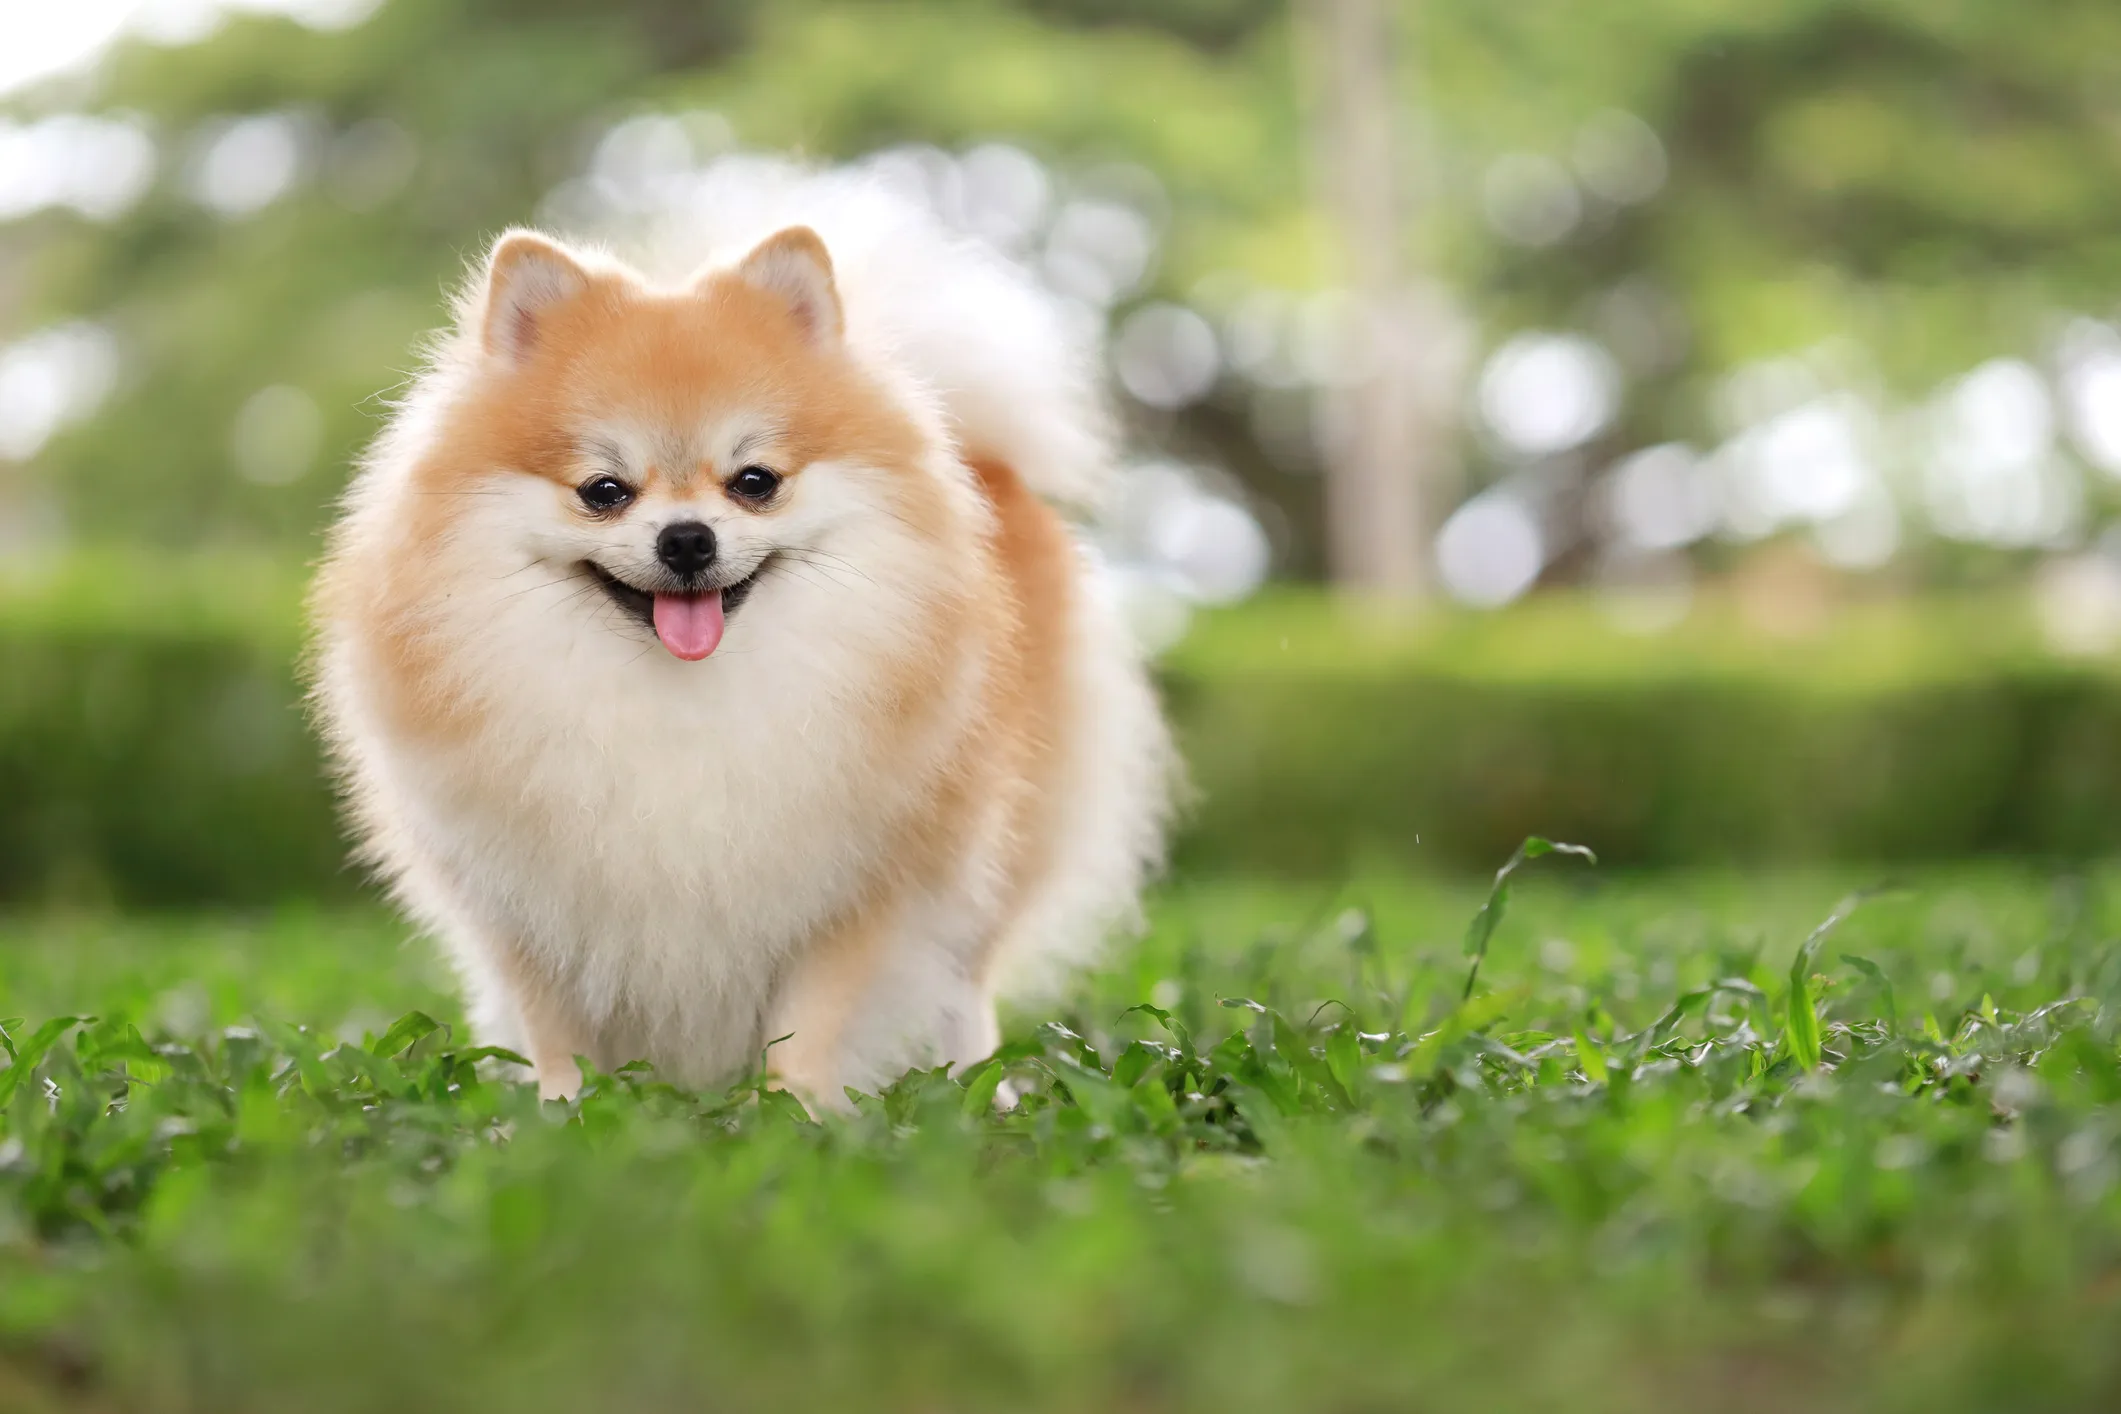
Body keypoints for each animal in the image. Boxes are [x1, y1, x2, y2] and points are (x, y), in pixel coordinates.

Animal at [311, 157, 1170, 1102]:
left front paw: (794, 1111)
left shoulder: (858, 886)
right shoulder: (526, 900)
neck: (682, 703)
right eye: (603, 491)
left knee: (965, 981)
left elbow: (815, 1021)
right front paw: (560, 1112)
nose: (687, 538)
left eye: (754, 481)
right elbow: (557, 1033)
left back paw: (985, 1088)